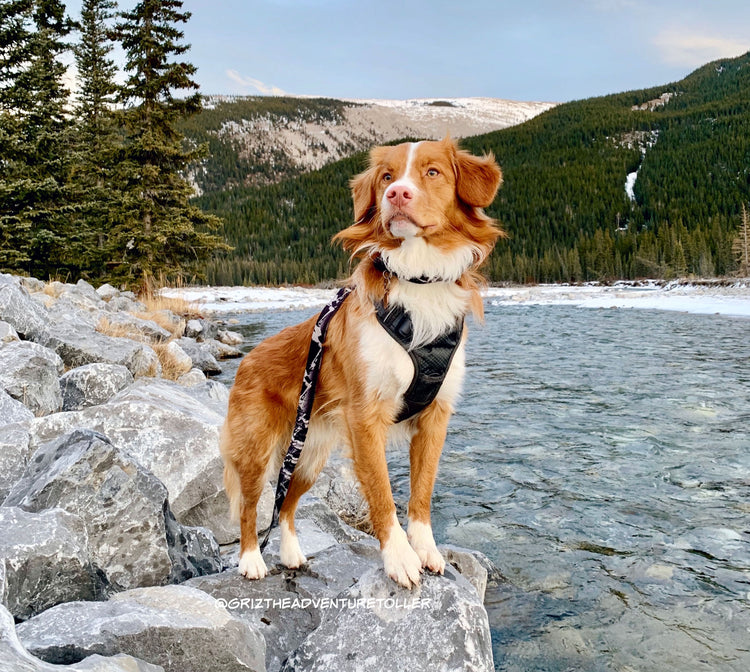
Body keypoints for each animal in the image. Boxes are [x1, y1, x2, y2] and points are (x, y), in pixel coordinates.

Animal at [223, 138, 506, 588]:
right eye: (387, 176)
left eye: (432, 172)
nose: (397, 194)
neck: (418, 278)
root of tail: (247, 358)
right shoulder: (365, 415)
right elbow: (381, 491)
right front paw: (400, 558)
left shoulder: (435, 415)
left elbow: (422, 492)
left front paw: (426, 549)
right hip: (256, 449)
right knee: (252, 506)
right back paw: (252, 559)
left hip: (309, 454)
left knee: (286, 504)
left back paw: (291, 554)